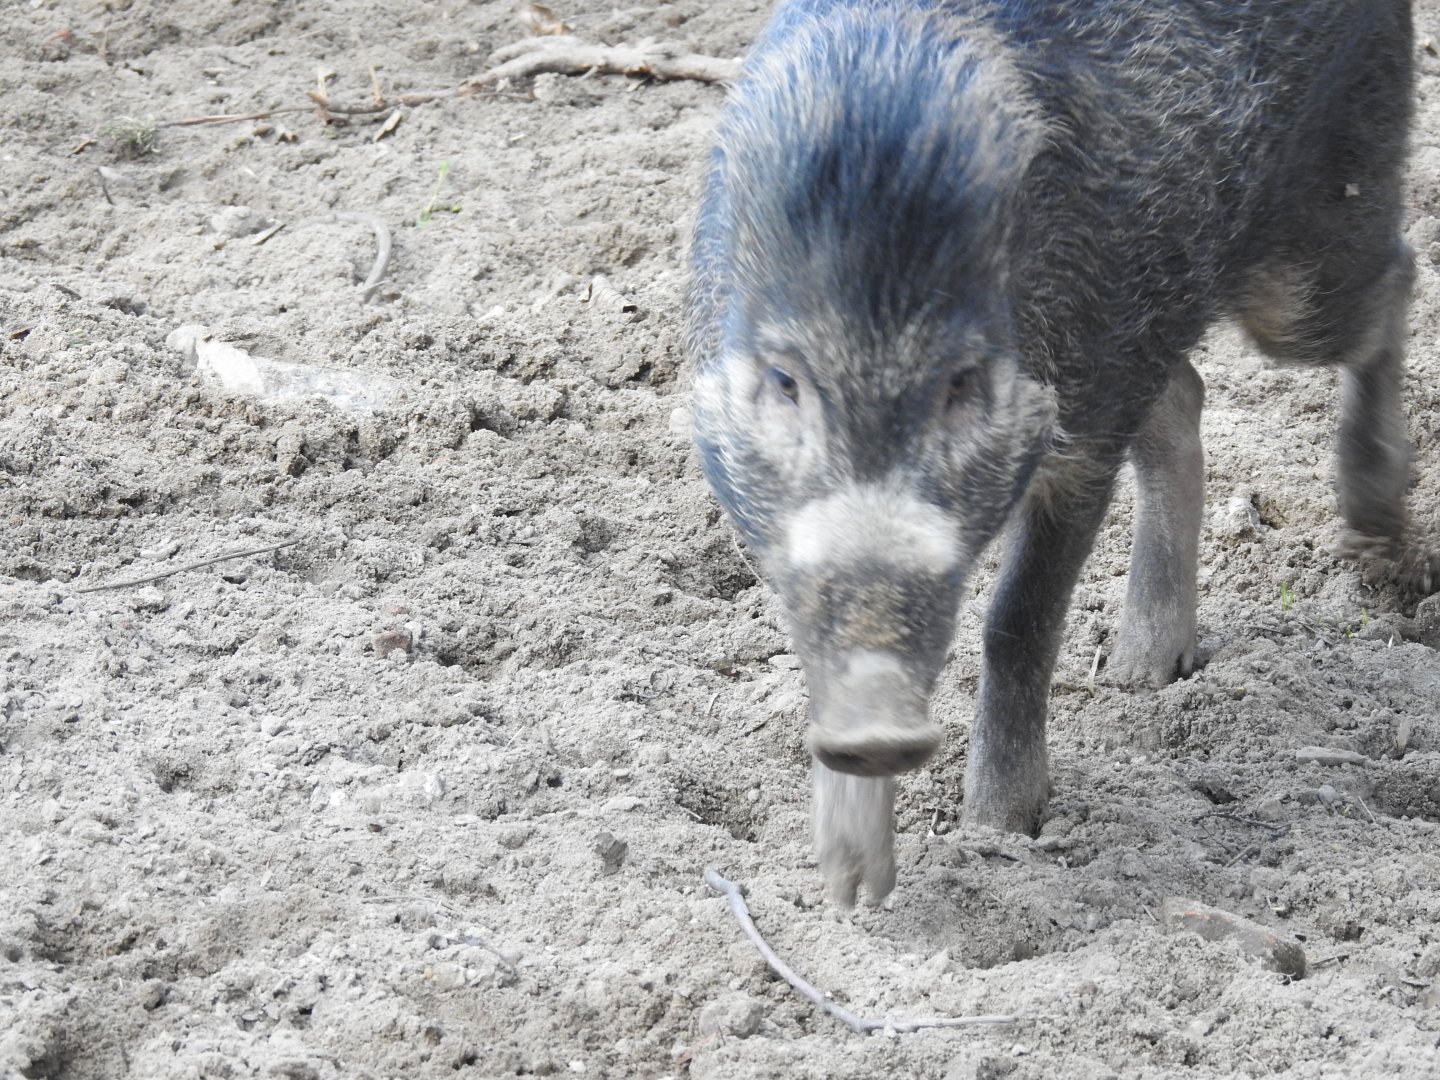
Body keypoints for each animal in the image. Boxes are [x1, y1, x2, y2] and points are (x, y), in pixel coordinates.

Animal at [685, 0, 1425, 906]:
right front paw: (852, 890)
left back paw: (1377, 546)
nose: (877, 727)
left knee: (1396, 278)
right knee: (1185, 396)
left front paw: (1000, 831)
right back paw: (1141, 674)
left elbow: (1017, 619)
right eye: (786, 381)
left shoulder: (1082, 430)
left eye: (963, 382)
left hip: (1312, 253)